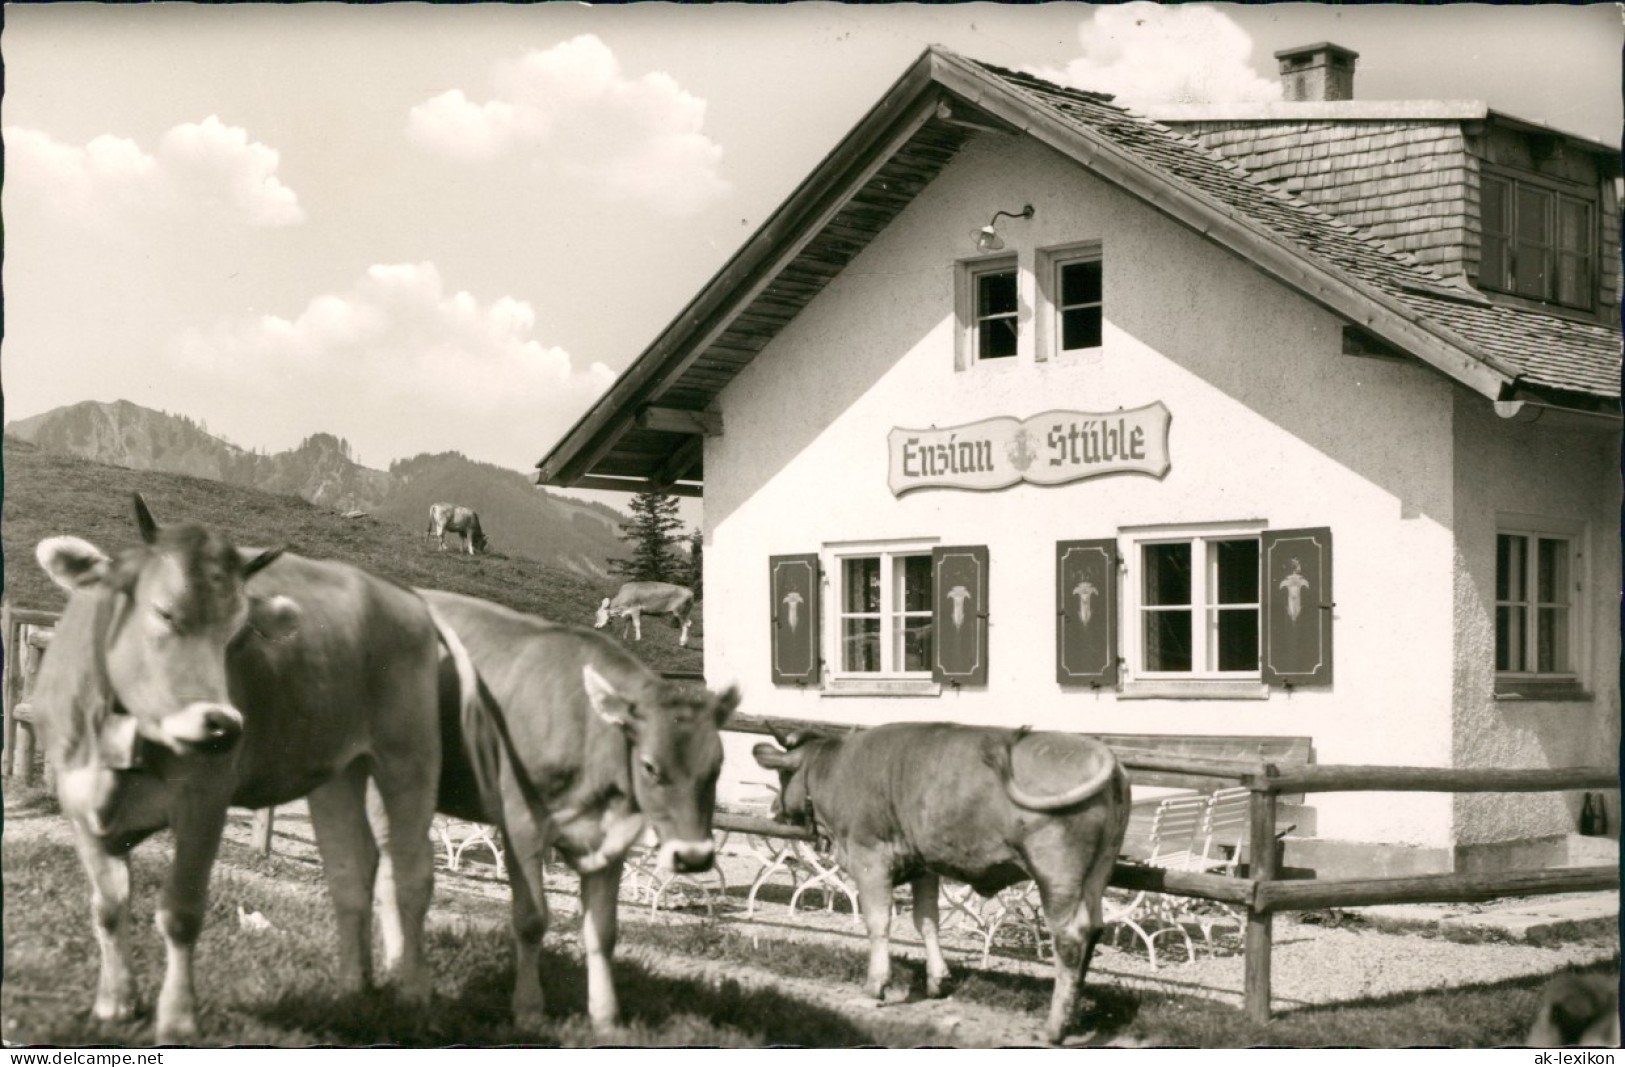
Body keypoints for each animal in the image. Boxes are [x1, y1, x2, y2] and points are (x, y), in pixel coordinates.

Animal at [34, 493, 474, 1045]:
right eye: (163, 611)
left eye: (240, 636)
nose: (222, 725)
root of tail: (403, 596)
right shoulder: (78, 802)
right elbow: (108, 908)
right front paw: (114, 1004)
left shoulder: (204, 799)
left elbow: (180, 912)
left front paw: (178, 1020)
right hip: (338, 767)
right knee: (353, 867)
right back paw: (352, 988)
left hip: (407, 753)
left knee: (411, 870)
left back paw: (413, 992)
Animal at [429, 591, 741, 1032]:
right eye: (649, 766)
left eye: (717, 766)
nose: (694, 857)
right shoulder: (521, 825)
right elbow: (531, 920)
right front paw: (529, 1009)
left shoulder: (610, 839)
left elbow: (603, 932)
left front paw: (606, 1017)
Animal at [750, 721, 1124, 1045]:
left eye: (783, 775)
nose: (775, 809)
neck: (833, 768)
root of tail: (1098, 752)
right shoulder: (923, 866)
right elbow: (926, 921)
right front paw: (937, 980)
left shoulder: (869, 858)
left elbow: (878, 923)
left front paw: (875, 985)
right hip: (1097, 873)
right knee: (1093, 930)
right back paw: (1072, 1017)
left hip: (1057, 873)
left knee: (1070, 938)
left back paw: (1054, 1028)